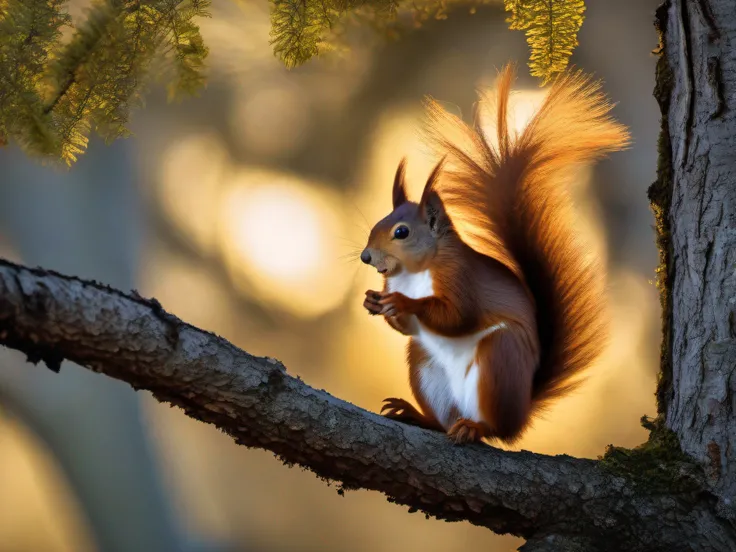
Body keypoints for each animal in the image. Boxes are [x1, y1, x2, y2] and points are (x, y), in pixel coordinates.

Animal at [360, 64, 628, 444]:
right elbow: (406, 327)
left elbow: (457, 315)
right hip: (423, 364)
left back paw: (476, 427)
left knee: (495, 429)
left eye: (401, 232)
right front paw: (373, 302)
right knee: (444, 420)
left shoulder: (460, 276)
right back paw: (420, 417)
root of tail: (523, 410)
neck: (414, 273)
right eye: (377, 224)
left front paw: (404, 303)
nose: (366, 257)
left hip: (500, 358)